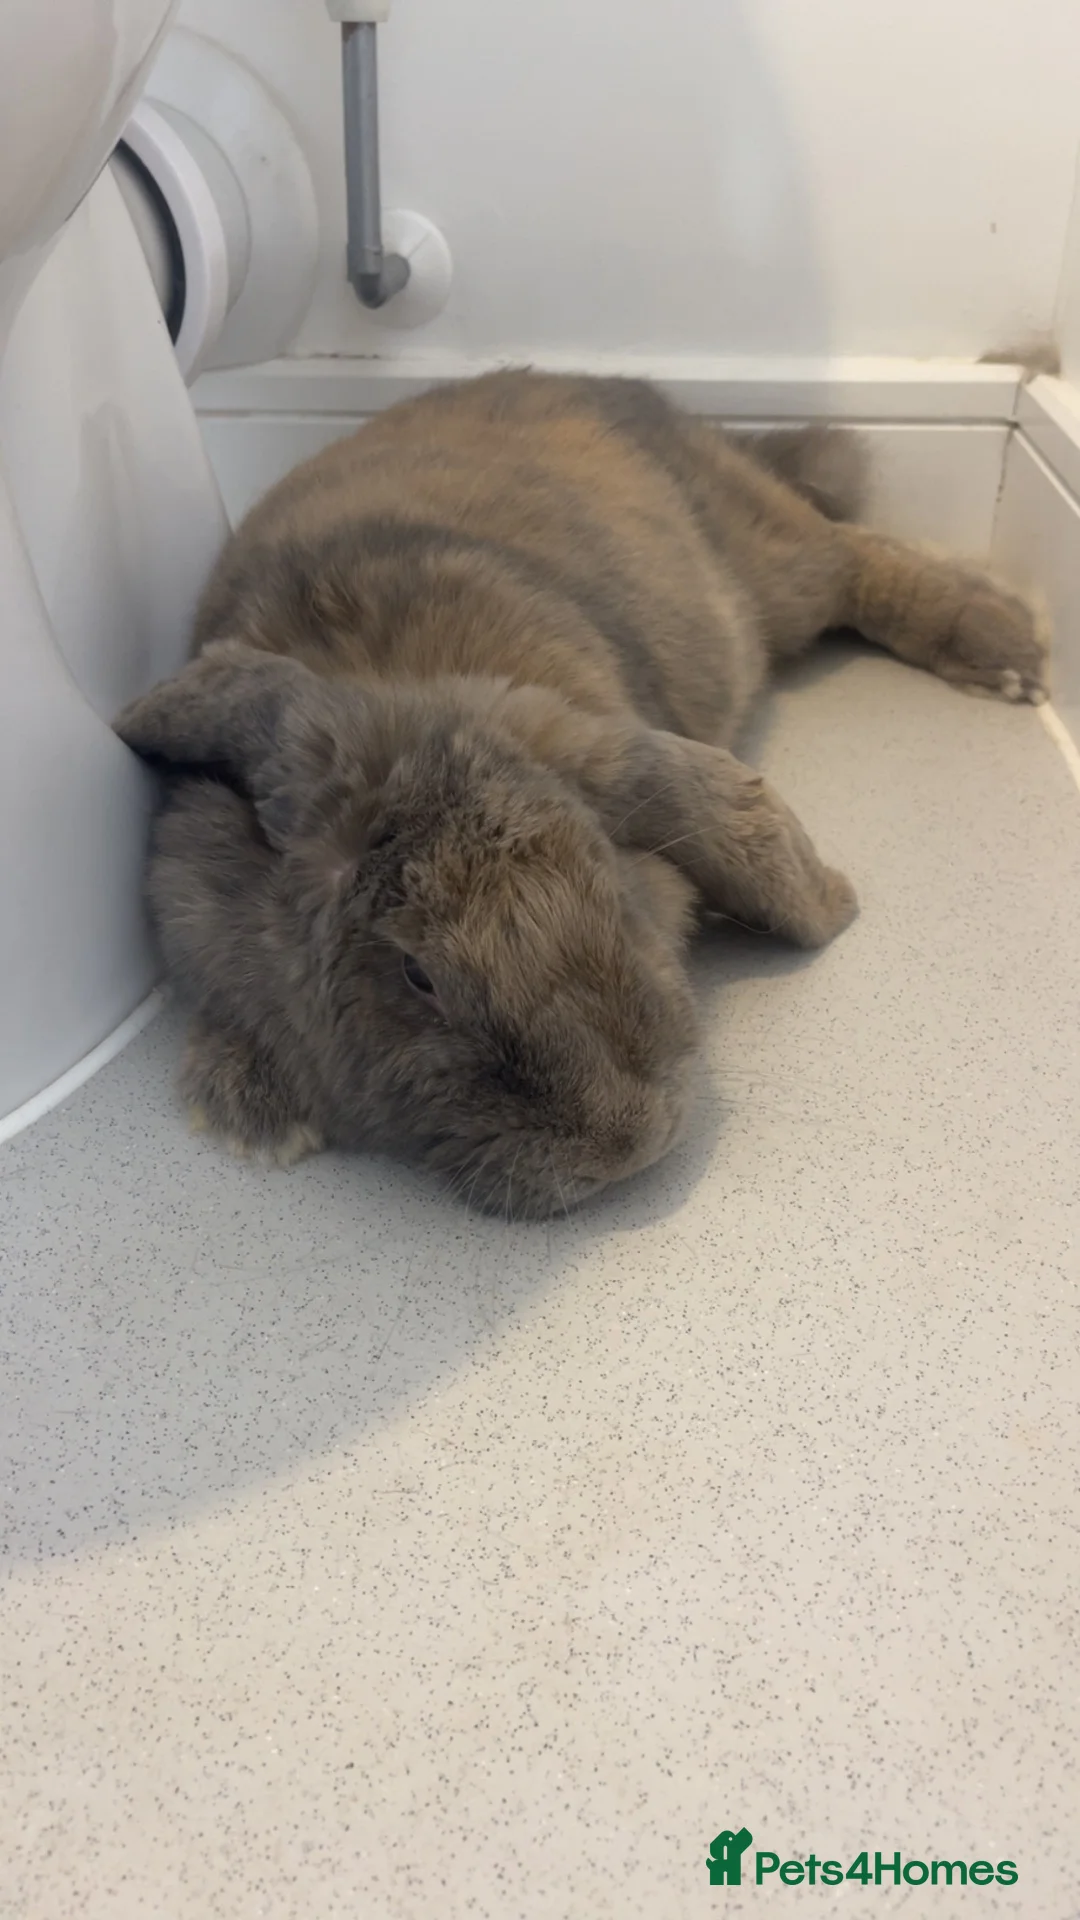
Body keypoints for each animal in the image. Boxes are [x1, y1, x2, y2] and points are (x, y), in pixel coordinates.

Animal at [114, 370, 1048, 1217]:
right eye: (417, 976)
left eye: (611, 888)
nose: (626, 1145)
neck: (400, 697)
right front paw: (248, 1111)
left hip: (771, 567)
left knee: (855, 557)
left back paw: (1010, 654)